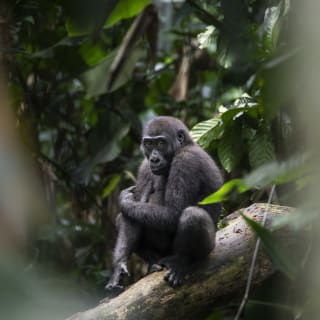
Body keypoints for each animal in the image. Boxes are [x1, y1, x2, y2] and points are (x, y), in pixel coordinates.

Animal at [106, 116, 224, 288]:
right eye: (149, 144)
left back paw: (182, 261)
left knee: (193, 215)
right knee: (123, 217)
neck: (185, 145)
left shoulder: (186, 160)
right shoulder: (144, 166)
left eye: (161, 143)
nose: (154, 159)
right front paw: (119, 266)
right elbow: (130, 217)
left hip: (209, 249)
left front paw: (124, 200)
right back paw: (153, 261)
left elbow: (174, 213)